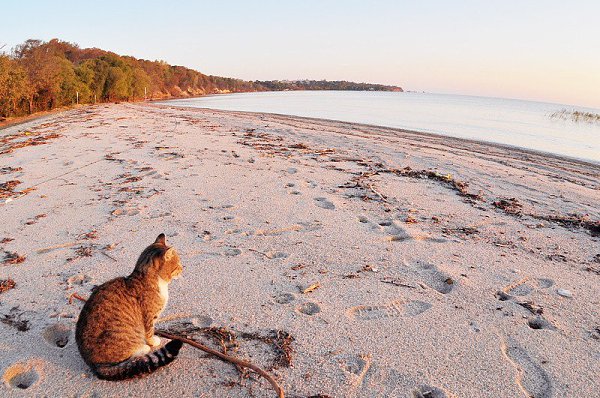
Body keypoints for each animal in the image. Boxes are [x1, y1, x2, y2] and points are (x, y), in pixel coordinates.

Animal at [76, 233, 183, 380]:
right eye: (178, 265)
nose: (183, 268)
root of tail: (93, 365)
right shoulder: (149, 316)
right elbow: (149, 331)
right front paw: (153, 341)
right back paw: (143, 348)